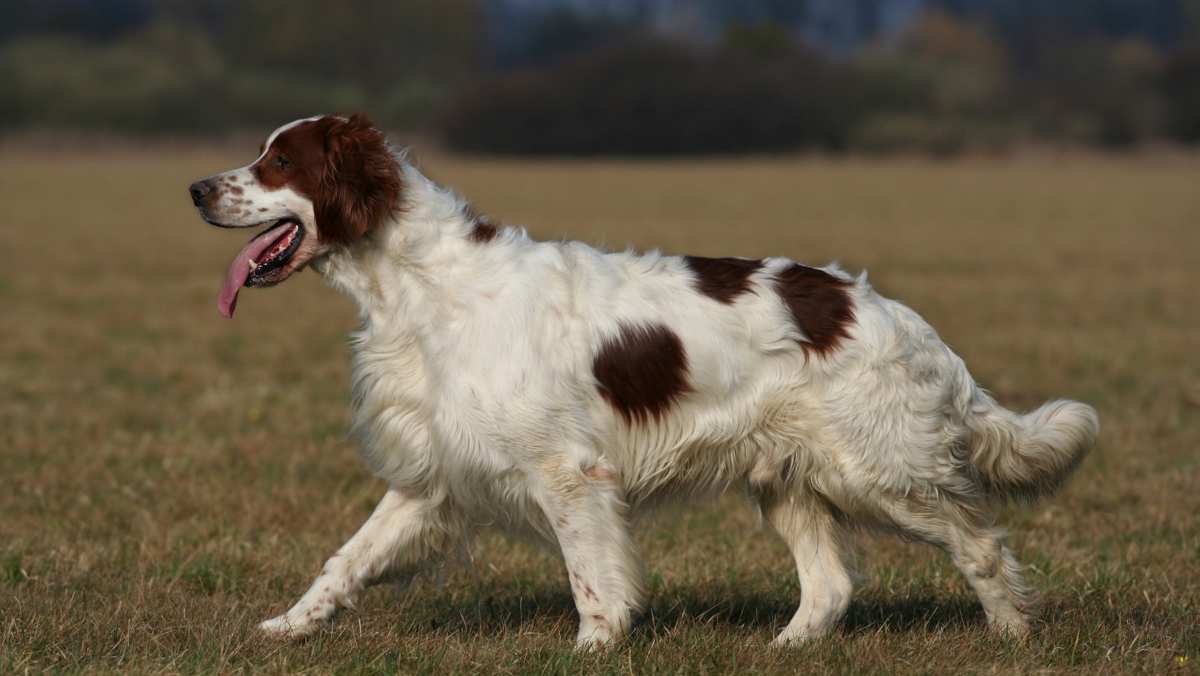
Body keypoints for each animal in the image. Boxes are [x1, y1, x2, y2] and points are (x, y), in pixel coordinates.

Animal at [187, 113, 1099, 648]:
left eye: (277, 161)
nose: (195, 187)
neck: (421, 287)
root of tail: (897, 316)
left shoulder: (567, 473)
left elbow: (593, 579)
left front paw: (594, 649)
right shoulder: (434, 475)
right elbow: (345, 560)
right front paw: (287, 627)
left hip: (880, 471)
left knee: (980, 545)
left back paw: (1012, 637)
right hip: (791, 479)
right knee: (831, 585)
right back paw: (786, 648)